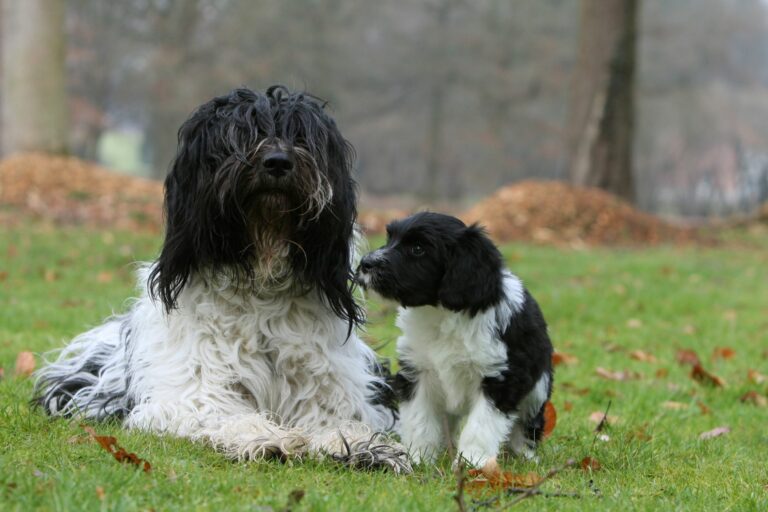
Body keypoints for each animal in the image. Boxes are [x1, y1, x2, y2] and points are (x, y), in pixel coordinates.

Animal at [34, 86, 408, 474]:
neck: (261, 281)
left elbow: (337, 421)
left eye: (301, 136)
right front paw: (265, 436)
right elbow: (219, 412)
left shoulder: (329, 388)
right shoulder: (192, 392)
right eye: (242, 134)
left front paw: (364, 447)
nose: (277, 162)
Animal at [356, 212, 548, 468]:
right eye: (390, 239)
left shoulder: (501, 377)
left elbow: (480, 425)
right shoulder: (417, 370)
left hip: (538, 389)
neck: (441, 312)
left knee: (527, 424)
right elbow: (420, 418)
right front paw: (418, 458)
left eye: (418, 248)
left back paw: (524, 455)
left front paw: (472, 463)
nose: (365, 263)